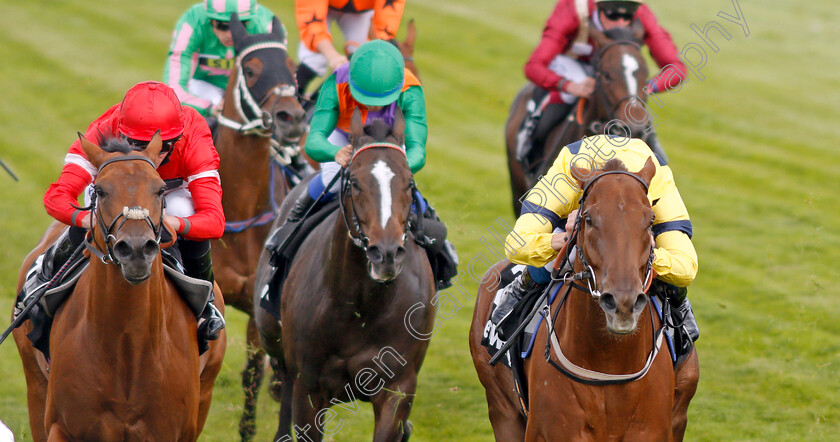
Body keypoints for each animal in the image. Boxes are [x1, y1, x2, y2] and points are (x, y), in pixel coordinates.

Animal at [13, 135, 225, 442]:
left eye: (160, 189)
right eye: (100, 191)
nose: (136, 249)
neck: (128, 345)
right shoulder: (62, 427)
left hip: (206, 391)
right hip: (35, 384)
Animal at [253, 109, 436, 440]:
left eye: (409, 183)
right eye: (355, 181)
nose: (386, 253)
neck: (362, 306)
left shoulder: (397, 388)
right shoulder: (309, 388)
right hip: (271, 335)